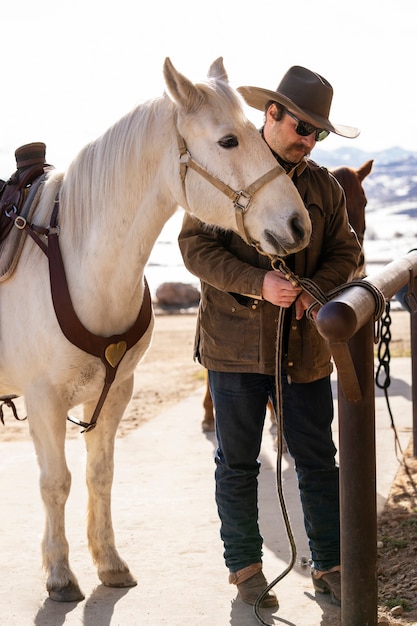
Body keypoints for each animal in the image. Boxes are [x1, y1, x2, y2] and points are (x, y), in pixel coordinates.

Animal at [0, 57, 308, 600]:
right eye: (229, 141)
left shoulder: (116, 392)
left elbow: (100, 475)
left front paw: (109, 562)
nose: (298, 225)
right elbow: (56, 482)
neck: (78, 263)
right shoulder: (44, 400)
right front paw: (59, 573)